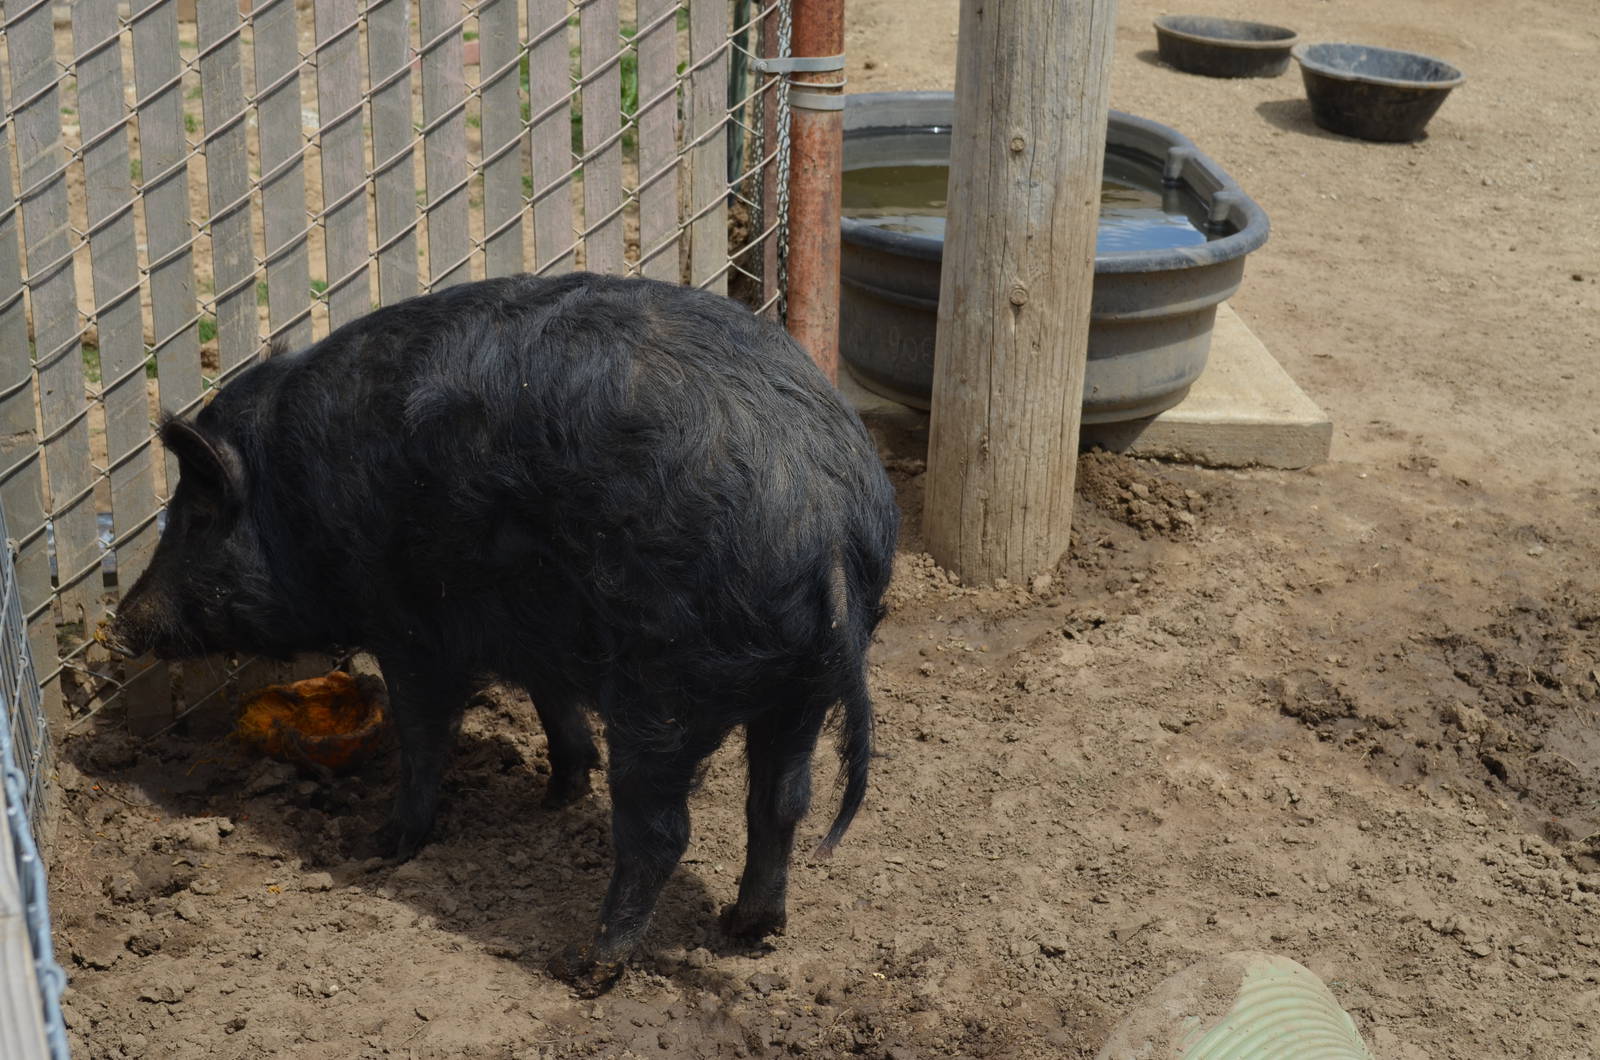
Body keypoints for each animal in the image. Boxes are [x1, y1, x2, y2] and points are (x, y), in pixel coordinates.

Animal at [104, 272, 899, 994]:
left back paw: (583, 966)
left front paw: (381, 846)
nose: (123, 621)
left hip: (665, 683)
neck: (294, 497)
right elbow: (554, 706)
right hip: (801, 687)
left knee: (662, 829)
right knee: (782, 800)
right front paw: (557, 794)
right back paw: (746, 929)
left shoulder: (411, 625)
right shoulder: (538, 629)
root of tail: (823, 513)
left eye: (195, 516)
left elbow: (424, 735)